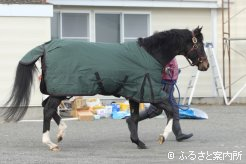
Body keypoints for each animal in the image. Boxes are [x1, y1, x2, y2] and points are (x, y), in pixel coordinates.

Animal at [0, 26, 209, 151]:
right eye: (199, 45)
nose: (205, 65)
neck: (150, 54)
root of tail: (46, 46)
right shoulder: (149, 92)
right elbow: (171, 109)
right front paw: (162, 137)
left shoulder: (134, 94)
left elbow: (135, 117)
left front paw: (138, 141)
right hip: (61, 90)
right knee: (48, 109)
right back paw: (50, 142)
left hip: (59, 90)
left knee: (48, 108)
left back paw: (60, 133)